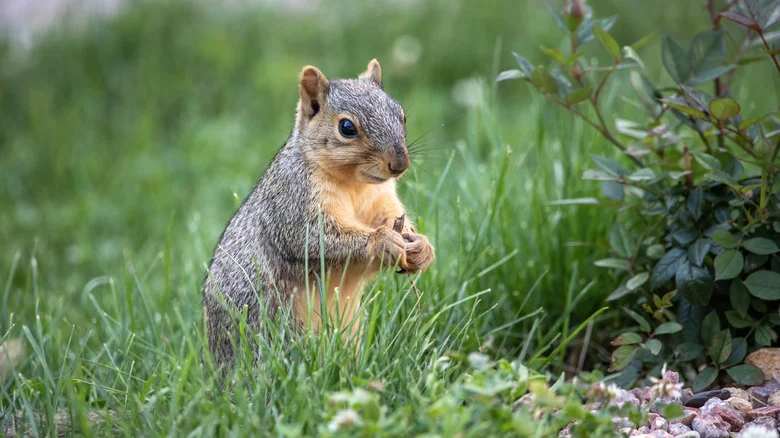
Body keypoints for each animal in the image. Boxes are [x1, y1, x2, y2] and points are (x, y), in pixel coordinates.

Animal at [202, 59, 435, 367]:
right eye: (346, 127)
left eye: (402, 115)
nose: (400, 164)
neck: (354, 184)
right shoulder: (292, 202)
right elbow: (314, 239)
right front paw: (382, 241)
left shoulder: (381, 200)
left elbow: (390, 219)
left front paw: (421, 246)